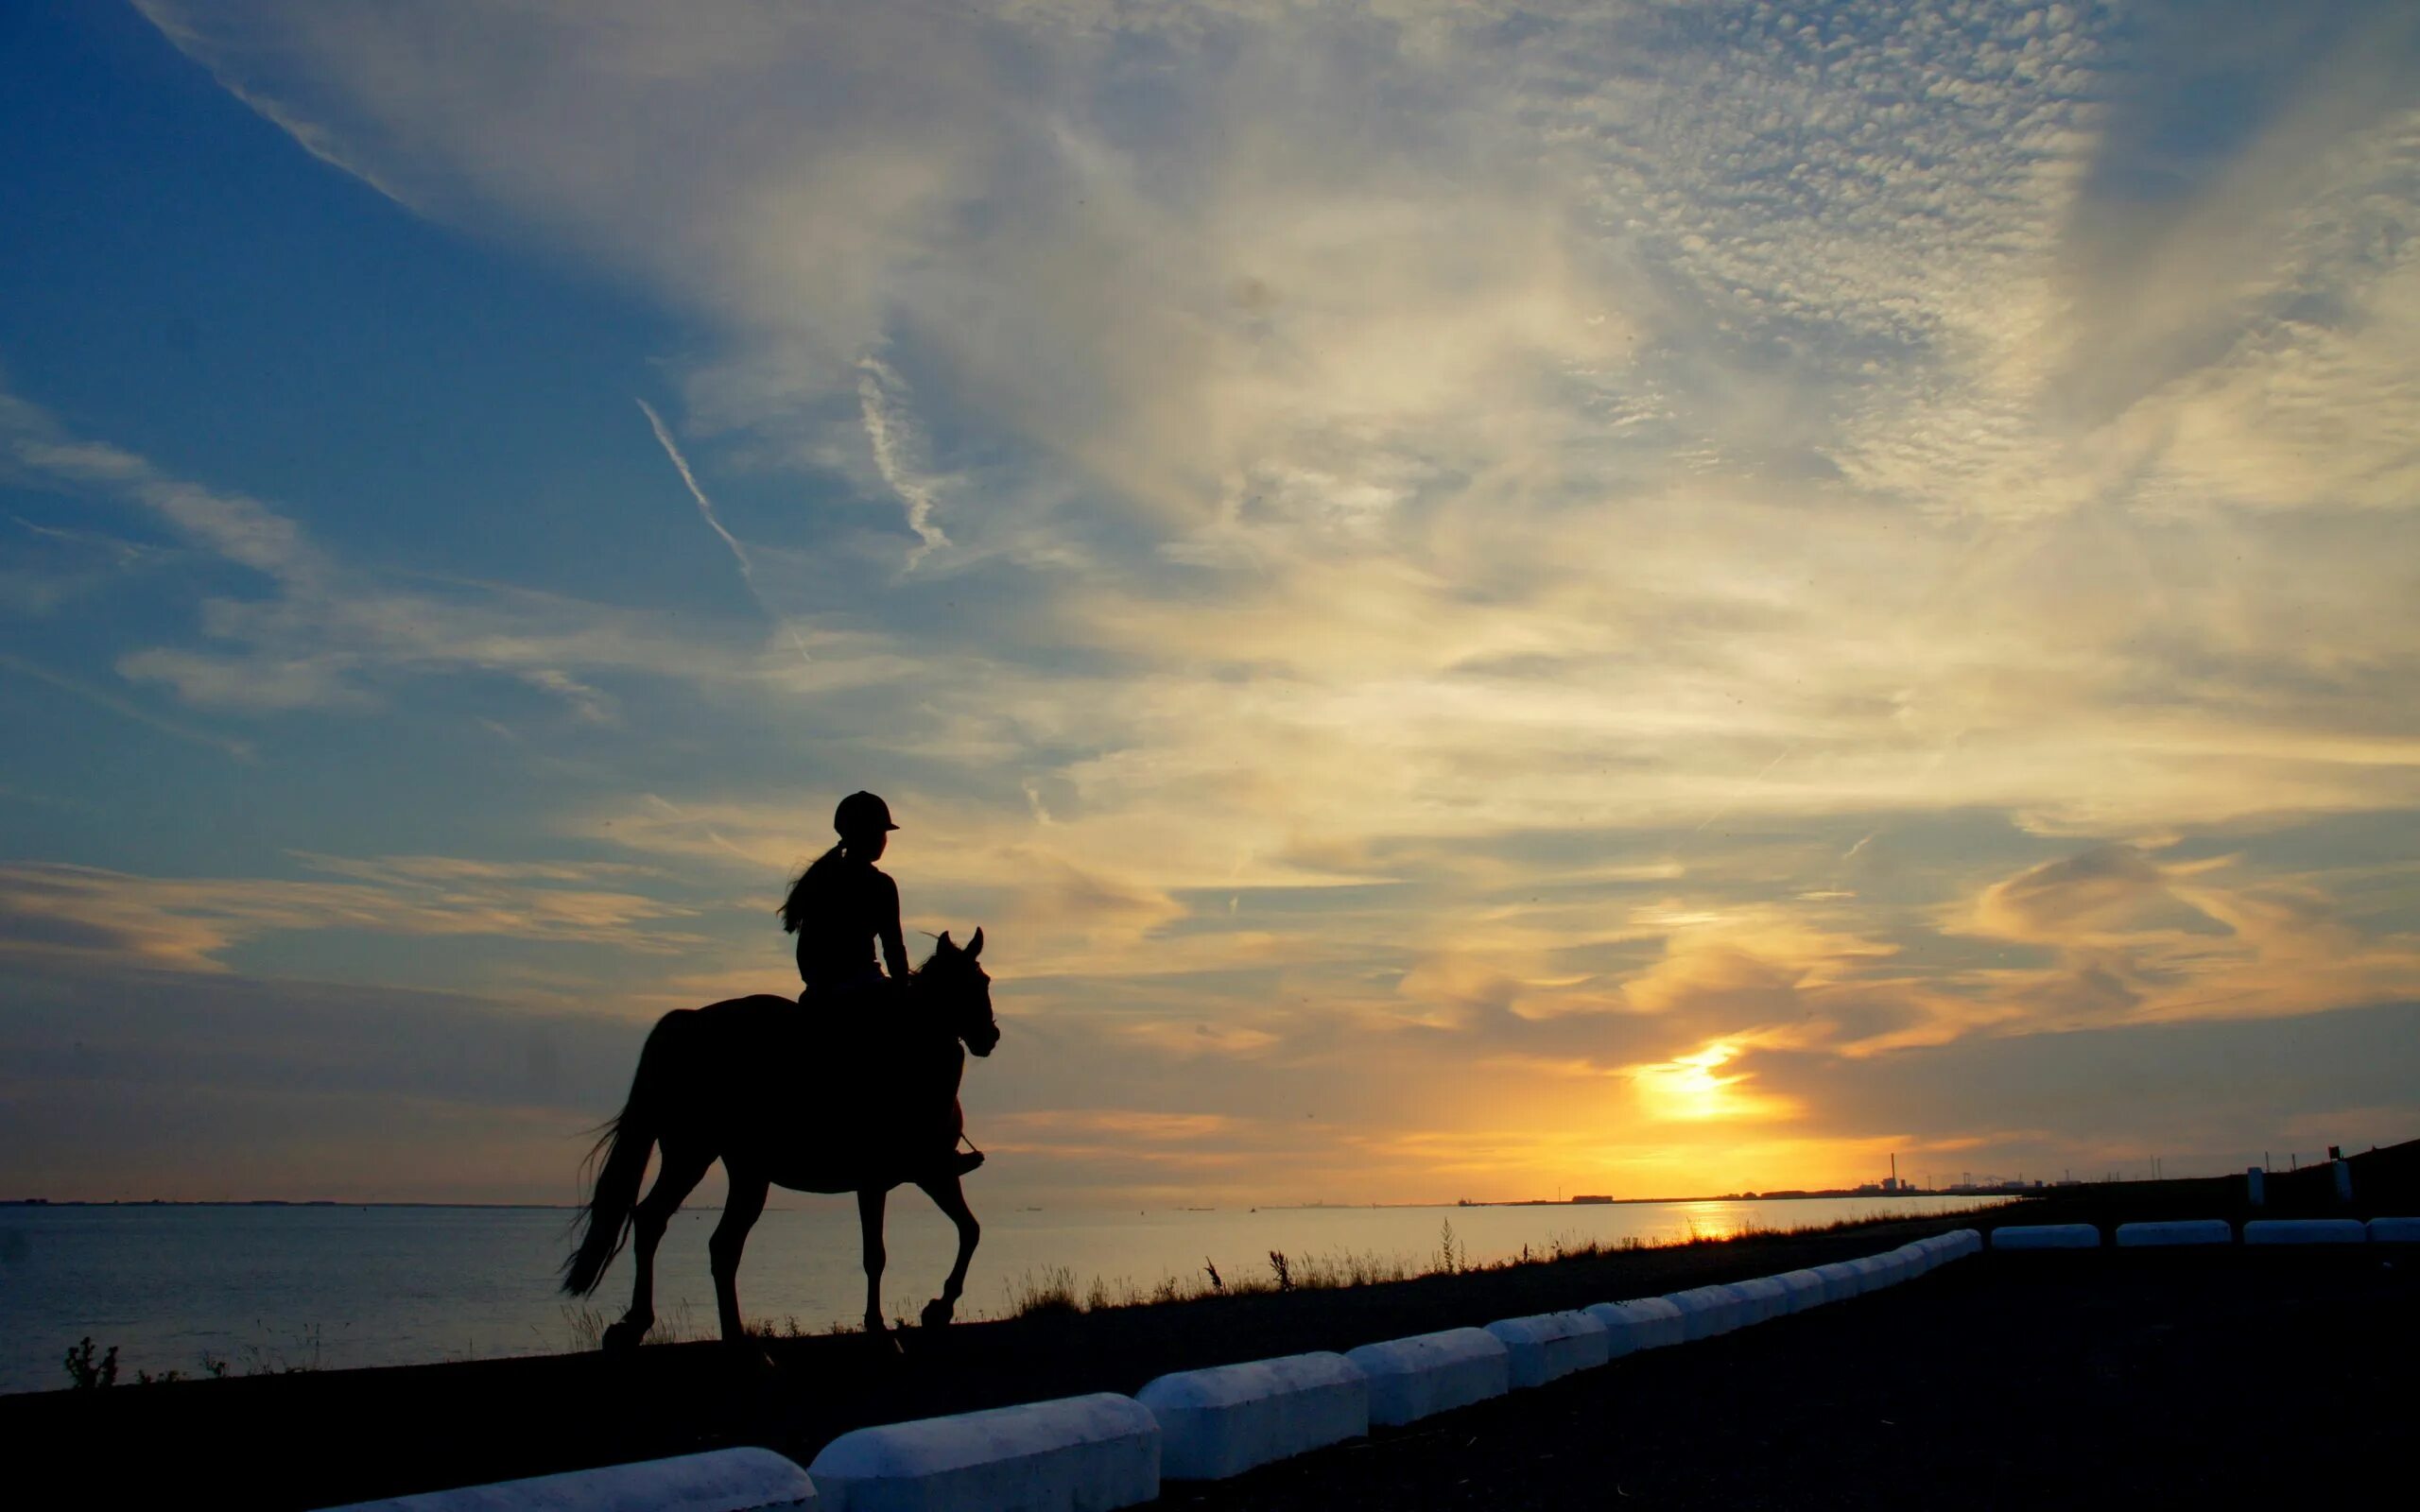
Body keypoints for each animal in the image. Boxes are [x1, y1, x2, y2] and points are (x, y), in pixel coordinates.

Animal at [556, 923, 992, 1354]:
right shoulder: (874, 1181)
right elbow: (876, 1255)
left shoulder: (934, 1174)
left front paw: (938, 1308)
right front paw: (879, 1325)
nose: (991, 1036)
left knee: (694, 1235)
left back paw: (695, 1331)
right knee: (679, 1229)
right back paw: (679, 1330)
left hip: (729, 1166)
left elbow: (970, 1230)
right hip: (697, 1154)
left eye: (984, 981)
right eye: (969, 985)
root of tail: (688, 1023)